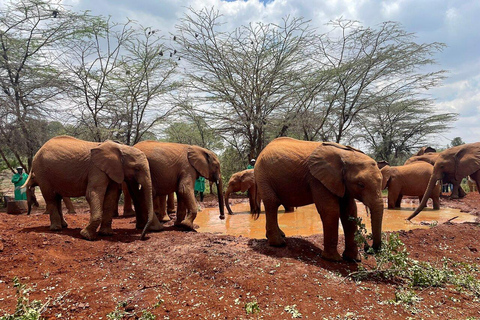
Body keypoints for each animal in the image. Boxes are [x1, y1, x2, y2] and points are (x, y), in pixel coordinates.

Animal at [26, 136, 161, 240]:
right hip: (42, 172)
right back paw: (56, 229)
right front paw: (86, 236)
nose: (142, 236)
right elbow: (93, 193)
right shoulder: (96, 169)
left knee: (57, 197)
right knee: (50, 197)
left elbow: (111, 196)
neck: (121, 148)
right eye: (137, 169)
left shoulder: (112, 171)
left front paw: (106, 234)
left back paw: (63, 226)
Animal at [253, 136, 384, 262]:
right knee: (272, 203)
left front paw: (353, 259)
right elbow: (331, 210)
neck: (345, 153)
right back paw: (279, 243)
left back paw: (280, 236)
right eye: (361, 184)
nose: (368, 248)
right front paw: (333, 259)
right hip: (262, 175)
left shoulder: (341, 183)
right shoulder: (317, 179)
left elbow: (350, 211)